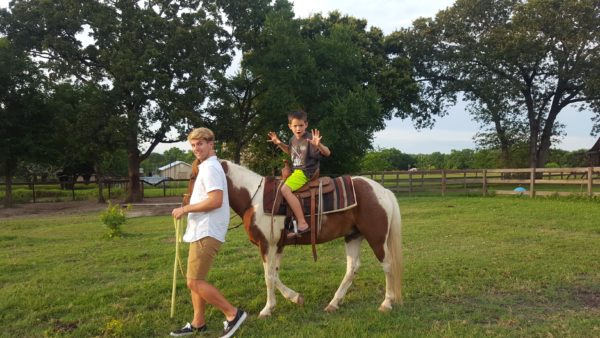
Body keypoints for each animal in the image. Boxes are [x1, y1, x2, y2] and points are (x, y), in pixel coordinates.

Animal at [220, 160, 404, 316]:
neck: (254, 199)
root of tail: (383, 191)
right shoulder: (278, 246)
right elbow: (275, 274)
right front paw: (295, 298)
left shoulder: (267, 245)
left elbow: (269, 276)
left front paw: (267, 309)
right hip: (353, 236)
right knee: (352, 267)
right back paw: (333, 303)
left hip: (376, 239)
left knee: (388, 265)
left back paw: (386, 303)